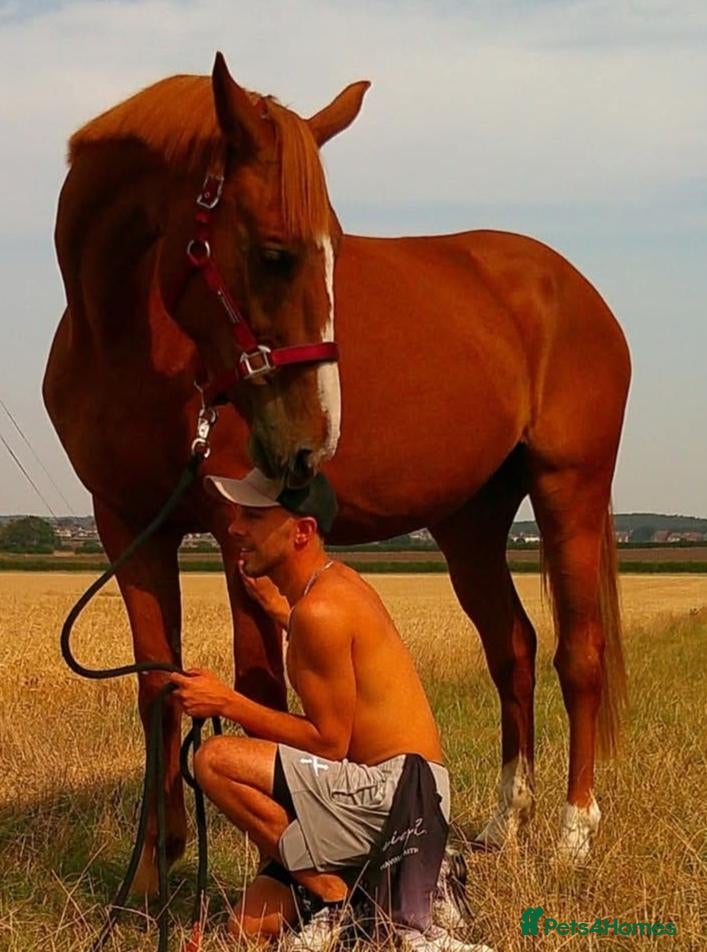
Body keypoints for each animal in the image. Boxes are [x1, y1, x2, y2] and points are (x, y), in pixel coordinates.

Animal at [44, 53, 630, 893]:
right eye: (274, 251)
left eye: (340, 249)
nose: (308, 448)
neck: (127, 339)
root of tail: (570, 286)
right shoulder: (127, 524)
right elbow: (158, 689)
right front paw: (146, 885)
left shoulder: (233, 525)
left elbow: (257, 688)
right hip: (469, 520)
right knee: (511, 648)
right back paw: (501, 828)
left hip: (568, 488)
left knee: (576, 653)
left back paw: (571, 836)